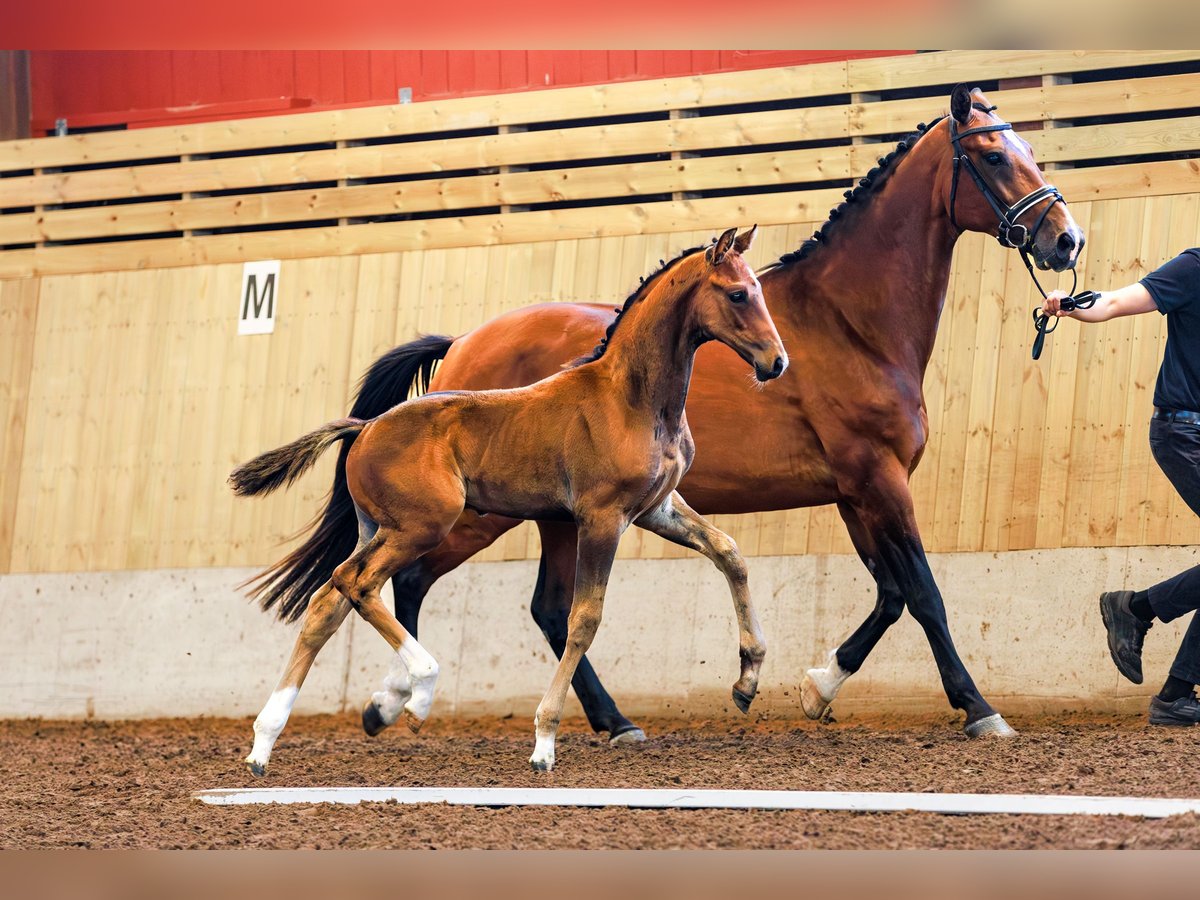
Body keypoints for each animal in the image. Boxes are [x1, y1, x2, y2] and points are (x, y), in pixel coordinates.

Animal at [230, 226, 787, 777]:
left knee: (329, 602)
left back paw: (263, 745)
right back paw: (419, 693)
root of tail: (364, 428)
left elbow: (729, 552)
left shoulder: (657, 508)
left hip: (379, 528)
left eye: (759, 289)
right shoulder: (602, 518)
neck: (631, 400)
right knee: (358, 583)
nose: (775, 362)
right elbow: (583, 619)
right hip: (422, 526)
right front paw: (544, 742)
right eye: (737, 294)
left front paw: (747, 681)